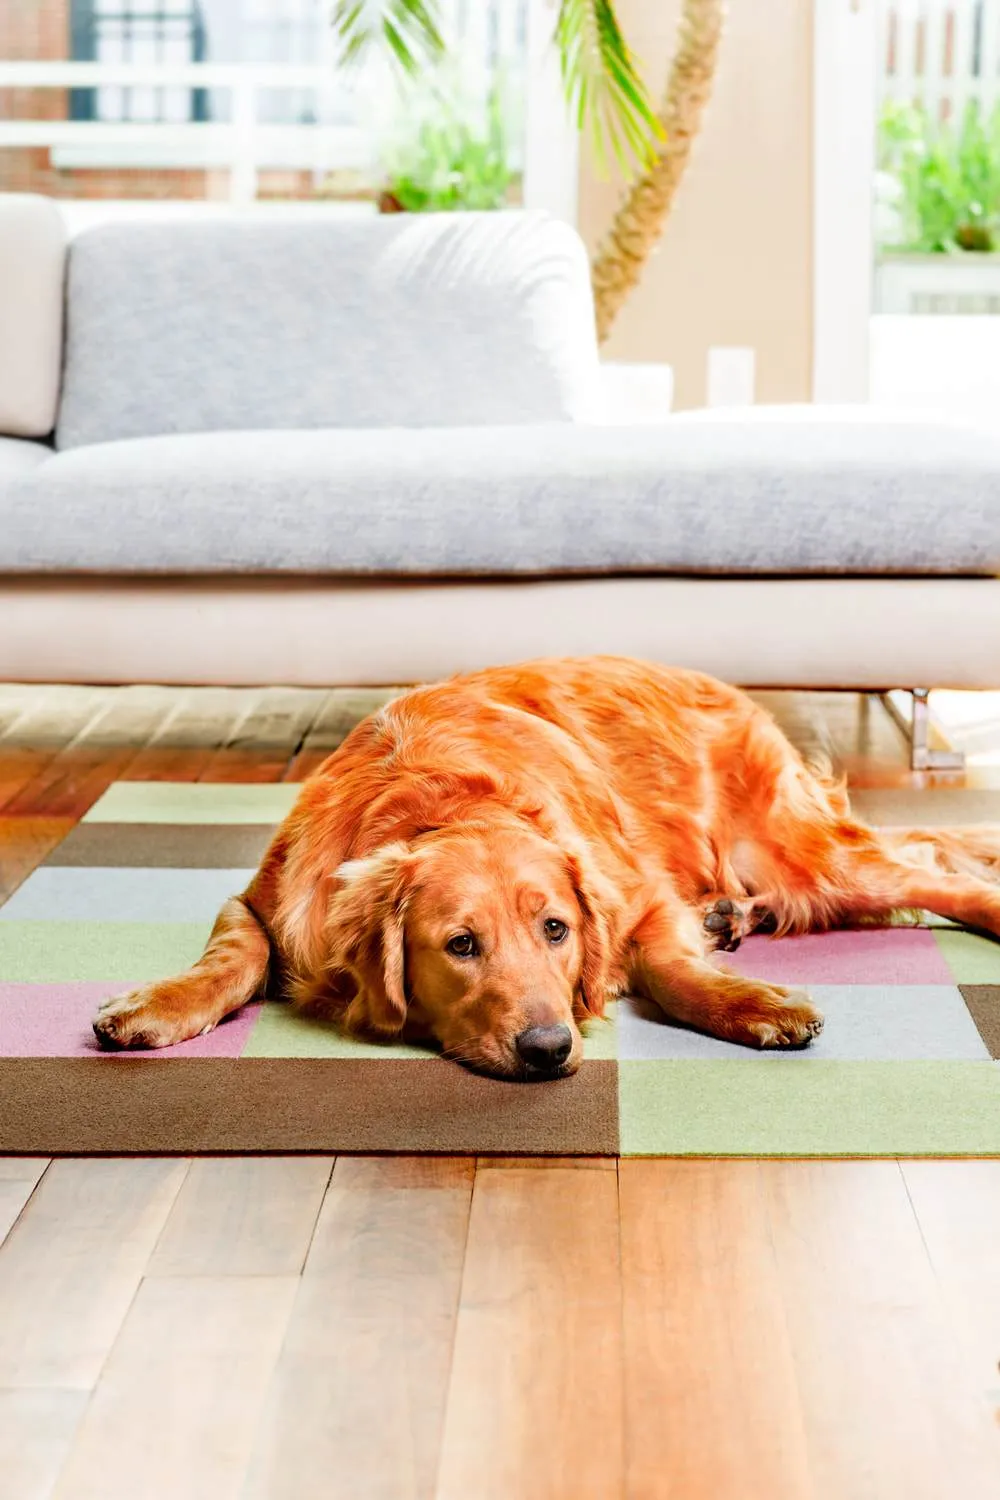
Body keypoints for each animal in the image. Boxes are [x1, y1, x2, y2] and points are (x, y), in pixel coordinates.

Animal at [95, 657, 1000, 1080]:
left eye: (556, 930)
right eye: (461, 945)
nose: (546, 1046)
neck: (440, 798)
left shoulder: (639, 896)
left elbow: (671, 968)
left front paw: (751, 1005)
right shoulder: (267, 899)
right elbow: (235, 953)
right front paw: (156, 1004)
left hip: (799, 851)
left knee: (932, 867)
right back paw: (733, 915)